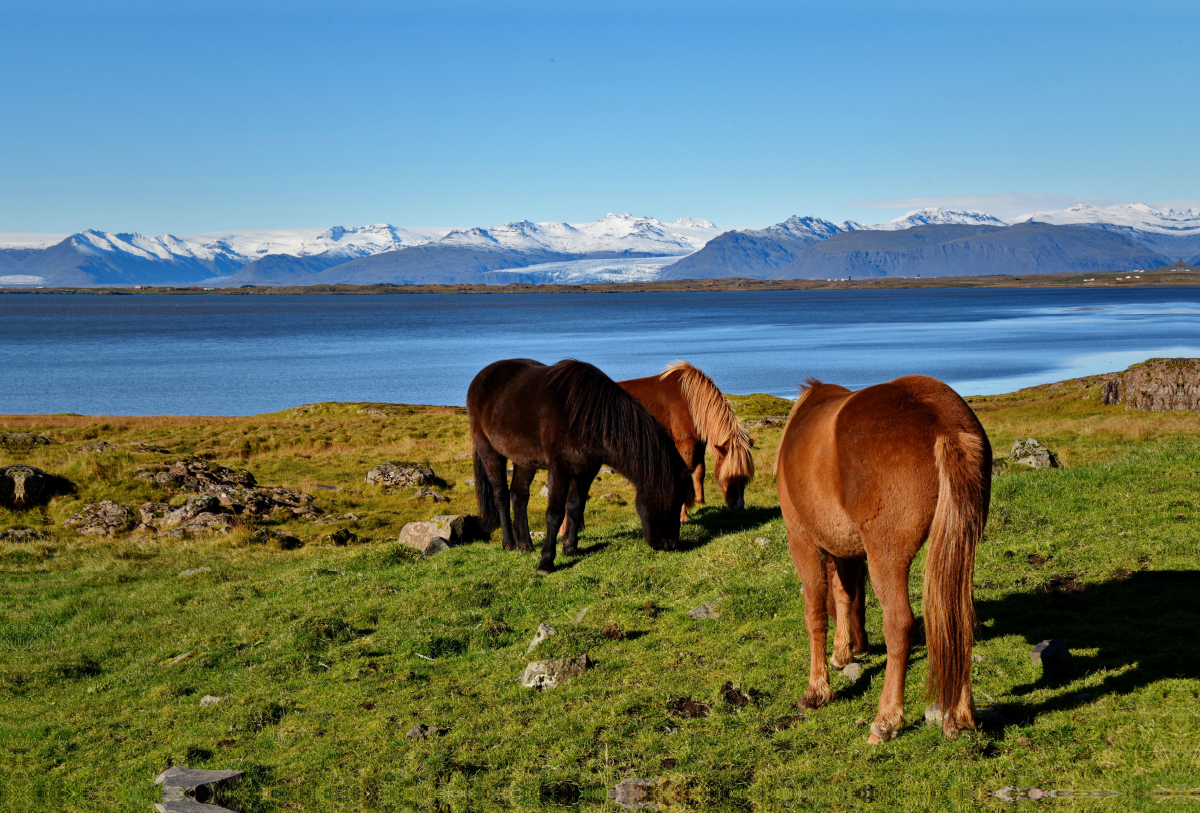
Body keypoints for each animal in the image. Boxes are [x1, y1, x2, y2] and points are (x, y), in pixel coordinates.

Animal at [468, 357, 696, 573]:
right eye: (673, 499)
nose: (670, 544)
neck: (585, 415)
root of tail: (481, 377)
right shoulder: (560, 467)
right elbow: (554, 514)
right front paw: (546, 563)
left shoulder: (586, 469)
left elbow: (575, 507)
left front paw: (570, 549)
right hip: (490, 452)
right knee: (501, 496)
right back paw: (509, 544)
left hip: (525, 459)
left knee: (519, 496)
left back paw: (525, 544)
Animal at [619, 362, 758, 522]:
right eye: (728, 476)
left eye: (746, 477)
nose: (739, 507)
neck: (691, 403)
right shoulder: (685, 445)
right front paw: (683, 517)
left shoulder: (699, 446)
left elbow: (699, 472)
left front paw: (699, 502)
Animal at [772, 376, 988, 743]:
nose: (859, 647)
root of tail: (941, 419)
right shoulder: (847, 549)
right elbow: (844, 595)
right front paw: (842, 651)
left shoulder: (803, 542)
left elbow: (815, 613)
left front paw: (816, 690)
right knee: (955, 617)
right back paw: (960, 714)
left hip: (886, 558)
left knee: (899, 624)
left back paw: (886, 719)